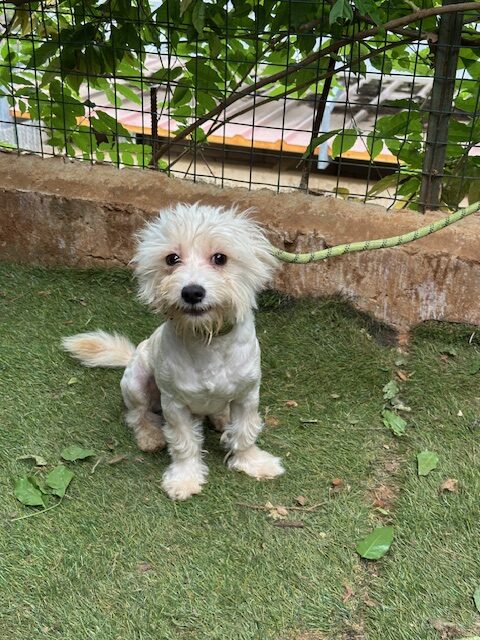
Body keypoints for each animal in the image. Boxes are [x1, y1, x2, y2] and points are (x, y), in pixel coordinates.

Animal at [62, 203, 284, 500]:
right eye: (171, 259)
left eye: (220, 258)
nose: (192, 292)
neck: (207, 338)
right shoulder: (175, 404)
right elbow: (184, 442)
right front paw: (185, 479)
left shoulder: (247, 396)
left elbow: (245, 433)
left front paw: (253, 462)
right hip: (136, 383)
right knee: (137, 415)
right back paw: (150, 436)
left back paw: (221, 418)